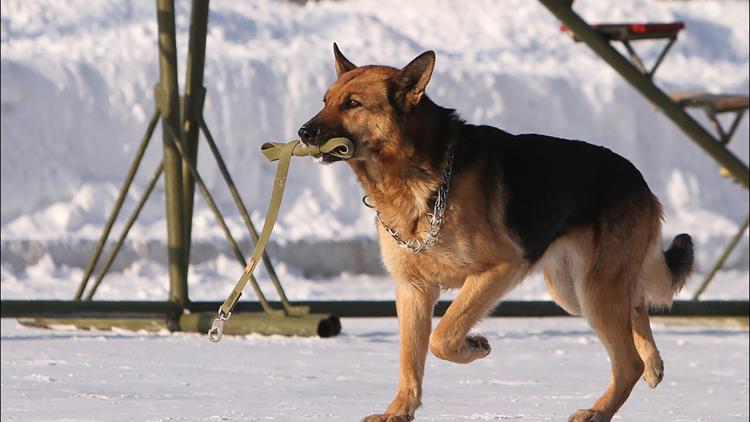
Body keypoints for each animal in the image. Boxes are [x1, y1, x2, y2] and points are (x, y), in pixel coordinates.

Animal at [296, 44, 696, 420]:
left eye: (352, 103)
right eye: (325, 101)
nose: (303, 132)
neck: (416, 173)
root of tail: (638, 178)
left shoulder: (499, 270)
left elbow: (442, 337)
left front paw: (472, 347)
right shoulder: (412, 290)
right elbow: (410, 359)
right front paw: (399, 411)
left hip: (593, 290)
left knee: (627, 362)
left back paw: (599, 410)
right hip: (574, 291)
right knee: (637, 303)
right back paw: (653, 363)